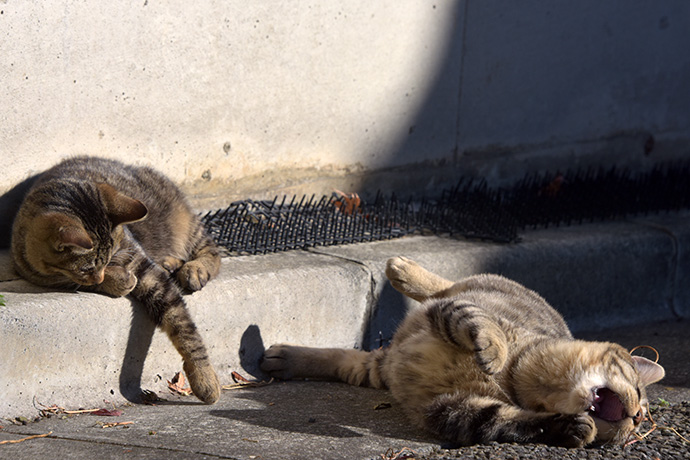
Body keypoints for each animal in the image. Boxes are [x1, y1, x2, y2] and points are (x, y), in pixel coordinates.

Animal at [11, 156, 220, 404]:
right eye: (87, 267)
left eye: (110, 256)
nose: (104, 271)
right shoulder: (42, 275)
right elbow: (86, 281)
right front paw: (120, 280)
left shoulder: (145, 267)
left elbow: (184, 328)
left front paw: (204, 378)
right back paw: (169, 262)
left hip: (187, 226)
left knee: (212, 251)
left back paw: (193, 269)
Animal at [260, 255, 664, 446]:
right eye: (639, 391)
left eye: (644, 420)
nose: (637, 419)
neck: (520, 380)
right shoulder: (457, 312)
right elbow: (481, 324)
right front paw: (492, 351)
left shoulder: (453, 409)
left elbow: (507, 420)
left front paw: (573, 428)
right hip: (467, 292)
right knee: (444, 286)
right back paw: (403, 269)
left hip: (377, 367)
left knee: (346, 360)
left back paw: (283, 358)